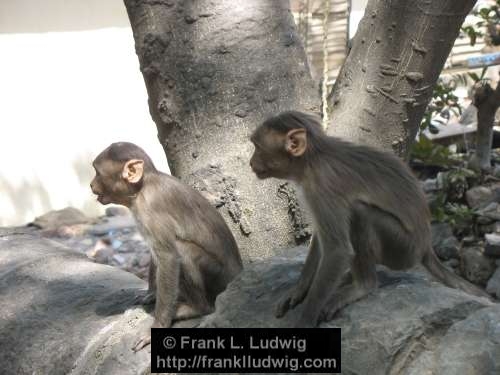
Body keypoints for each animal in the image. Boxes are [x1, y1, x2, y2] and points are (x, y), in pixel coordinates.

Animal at [92, 142, 244, 352]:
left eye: (97, 173)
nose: (91, 184)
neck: (142, 187)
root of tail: (239, 274)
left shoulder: (150, 210)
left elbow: (168, 257)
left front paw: (157, 326)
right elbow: (156, 254)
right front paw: (151, 293)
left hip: (220, 278)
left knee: (183, 252)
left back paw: (197, 308)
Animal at [248, 110, 490, 328]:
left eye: (257, 147)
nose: (250, 162)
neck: (312, 160)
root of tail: (426, 247)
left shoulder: (323, 187)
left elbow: (337, 249)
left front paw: (305, 320)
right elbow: (322, 237)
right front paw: (299, 290)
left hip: (403, 248)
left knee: (359, 213)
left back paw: (363, 285)